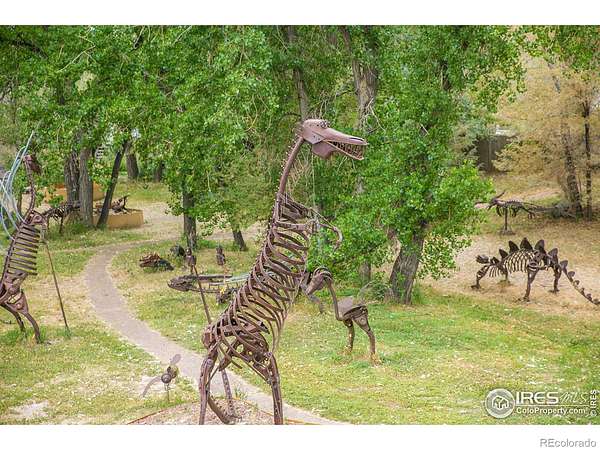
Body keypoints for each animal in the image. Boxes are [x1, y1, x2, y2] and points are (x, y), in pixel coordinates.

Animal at [197, 119, 367, 425]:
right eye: (323, 126)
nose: (359, 141)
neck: (285, 211)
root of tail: (211, 329)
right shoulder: (263, 353)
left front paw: (336, 241)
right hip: (250, 348)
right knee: (208, 375)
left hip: (235, 349)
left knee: (211, 371)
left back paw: (228, 417)